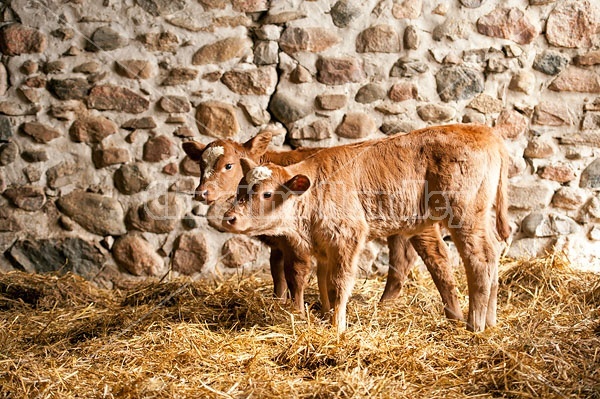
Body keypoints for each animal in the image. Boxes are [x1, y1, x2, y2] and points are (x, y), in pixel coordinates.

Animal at [183, 131, 464, 322]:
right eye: (201, 165)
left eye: (228, 165)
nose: (201, 192)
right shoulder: (283, 244)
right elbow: (281, 274)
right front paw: (290, 304)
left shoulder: (295, 243)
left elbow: (295, 274)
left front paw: (297, 312)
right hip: (399, 227)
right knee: (401, 260)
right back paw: (384, 306)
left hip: (421, 225)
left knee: (437, 257)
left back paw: (454, 315)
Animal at [223, 125, 508, 334]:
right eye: (239, 189)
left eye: (267, 193)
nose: (229, 218)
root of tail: (483, 131)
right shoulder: (324, 246)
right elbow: (323, 281)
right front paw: (327, 317)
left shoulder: (348, 237)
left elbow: (338, 283)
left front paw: (337, 327)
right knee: (493, 253)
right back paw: (491, 322)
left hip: (465, 215)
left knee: (479, 259)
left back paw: (474, 326)